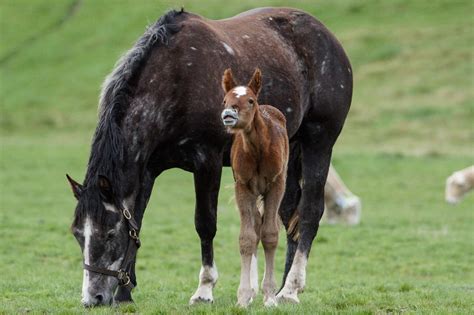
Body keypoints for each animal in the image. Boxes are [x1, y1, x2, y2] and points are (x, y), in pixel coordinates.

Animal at [219, 68, 288, 308]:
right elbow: (247, 238)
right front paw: (243, 297)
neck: (258, 149)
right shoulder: (243, 187)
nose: (228, 114)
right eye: (225, 100)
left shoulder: (276, 185)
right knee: (256, 225)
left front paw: (270, 296)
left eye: (250, 100)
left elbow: (270, 235)